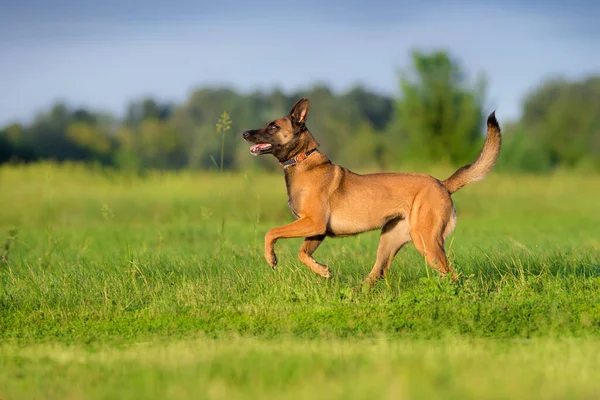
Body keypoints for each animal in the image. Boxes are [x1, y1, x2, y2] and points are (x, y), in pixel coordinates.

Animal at [241, 98, 500, 282]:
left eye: (273, 126)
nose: (244, 133)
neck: (302, 158)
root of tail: (442, 184)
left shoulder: (313, 223)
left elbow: (271, 232)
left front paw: (271, 258)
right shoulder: (316, 230)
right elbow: (302, 253)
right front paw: (322, 270)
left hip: (427, 243)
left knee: (452, 275)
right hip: (389, 241)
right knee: (377, 274)